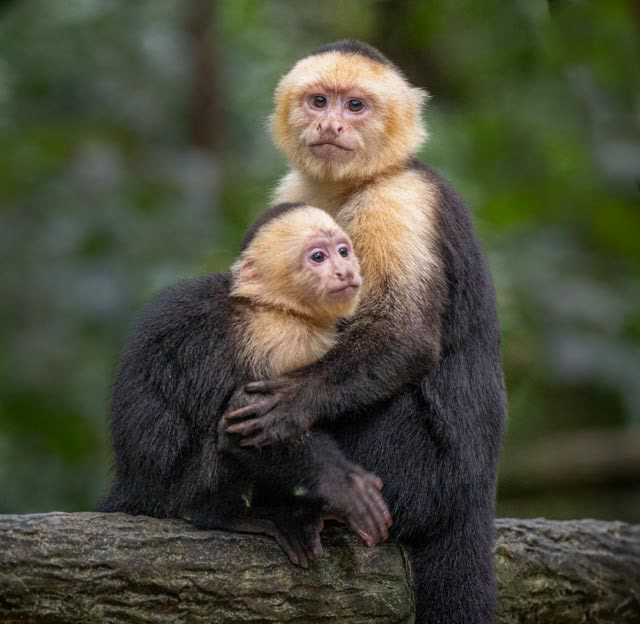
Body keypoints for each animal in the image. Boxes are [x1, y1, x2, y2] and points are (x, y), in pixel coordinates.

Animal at [98, 202, 392, 568]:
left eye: (343, 251)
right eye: (318, 257)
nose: (345, 271)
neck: (274, 306)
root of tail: (133, 485)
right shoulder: (281, 342)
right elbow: (242, 424)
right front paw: (341, 485)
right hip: (175, 489)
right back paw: (222, 514)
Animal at [223, 40, 507, 622]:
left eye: (355, 106)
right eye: (319, 101)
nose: (331, 123)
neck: (355, 184)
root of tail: (474, 497)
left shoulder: (399, 203)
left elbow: (401, 335)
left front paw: (292, 402)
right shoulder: (293, 194)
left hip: (423, 477)